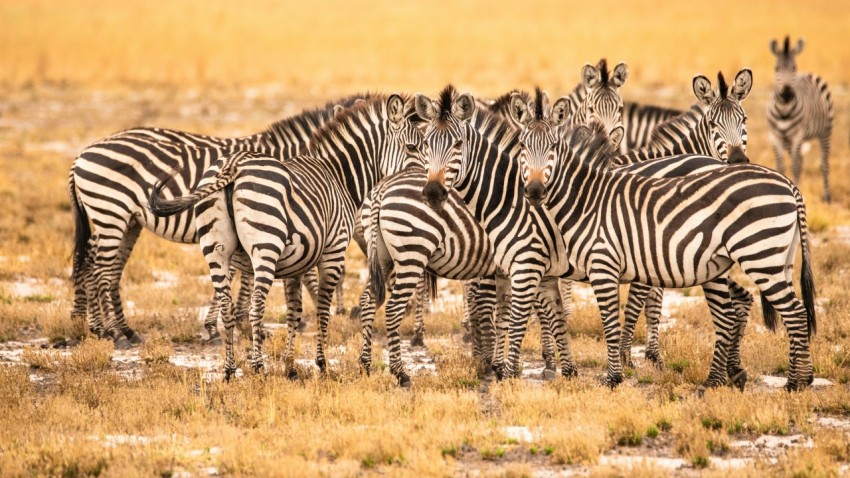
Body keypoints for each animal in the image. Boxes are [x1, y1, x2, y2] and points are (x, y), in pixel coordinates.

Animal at [69, 95, 370, 347]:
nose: (346, 311)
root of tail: (82, 153)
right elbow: (264, 275)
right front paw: (242, 325)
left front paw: (229, 325)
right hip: (110, 211)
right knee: (99, 266)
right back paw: (112, 332)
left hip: (127, 220)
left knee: (97, 263)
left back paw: (106, 327)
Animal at [149, 95, 423, 379]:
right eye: (413, 147)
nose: (427, 185)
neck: (338, 177)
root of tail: (234, 164)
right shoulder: (333, 252)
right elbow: (322, 309)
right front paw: (322, 365)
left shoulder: (296, 264)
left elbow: (295, 311)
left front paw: (290, 366)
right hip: (265, 246)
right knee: (256, 307)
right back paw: (257, 367)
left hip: (215, 249)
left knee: (227, 306)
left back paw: (229, 370)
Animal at [517, 120, 816, 391]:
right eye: (522, 146)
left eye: (553, 147)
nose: (534, 191)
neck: (587, 200)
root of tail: (788, 183)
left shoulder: (603, 264)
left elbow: (609, 323)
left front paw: (613, 379)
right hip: (777, 260)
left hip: (761, 256)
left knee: (795, 314)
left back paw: (793, 384)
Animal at [767, 36, 834, 203]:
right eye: (776, 68)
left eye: (794, 68)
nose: (786, 94)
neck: (783, 112)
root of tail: (808, 73)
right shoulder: (775, 137)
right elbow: (781, 166)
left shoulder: (797, 136)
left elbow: (795, 166)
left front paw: (796, 189)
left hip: (825, 131)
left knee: (824, 164)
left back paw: (827, 196)